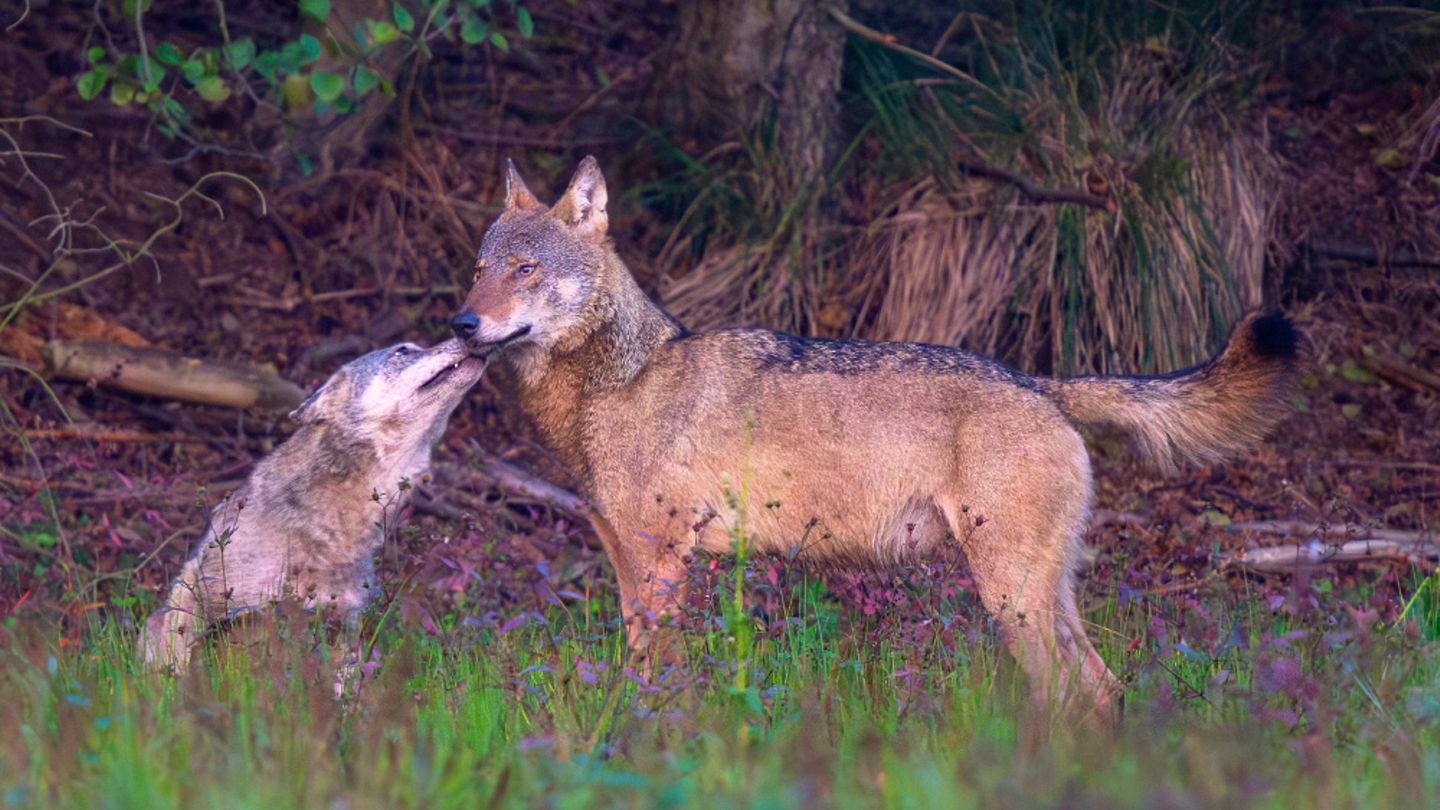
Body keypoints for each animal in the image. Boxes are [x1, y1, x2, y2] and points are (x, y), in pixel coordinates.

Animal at [449, 156, 1299, 724]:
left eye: (526, 271)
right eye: (480, 268)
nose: (462, 324)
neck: (621, 380)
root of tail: (1037, 382)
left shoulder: (662, 559)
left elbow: (655, 672)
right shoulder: (629, 558)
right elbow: (640, 664)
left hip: (1010, 597)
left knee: (1063, 691)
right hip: (1042, 595)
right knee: (1102, 689)